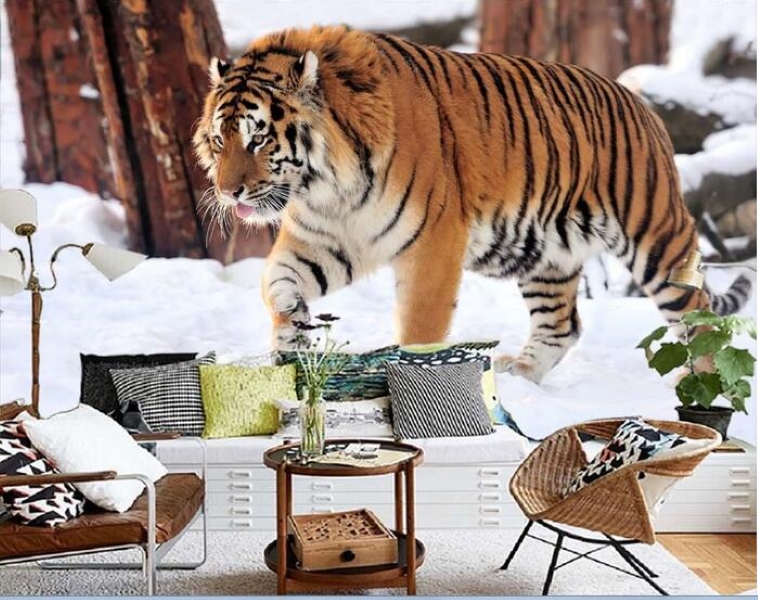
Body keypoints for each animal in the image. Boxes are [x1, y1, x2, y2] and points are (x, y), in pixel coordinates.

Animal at [193, 25, 752, 383]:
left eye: (258, 138)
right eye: (220, 141)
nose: (228, 192)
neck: (327, 186)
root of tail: (639, 100)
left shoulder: (432, 243)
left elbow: (420, 330)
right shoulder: (326, 239)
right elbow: (277, 282)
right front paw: (293, 334)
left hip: (656, 237)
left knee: (701, 318)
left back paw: (700, 390)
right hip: (545, 256)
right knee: (562, 325)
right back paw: (521, 374)